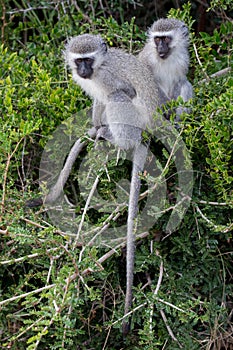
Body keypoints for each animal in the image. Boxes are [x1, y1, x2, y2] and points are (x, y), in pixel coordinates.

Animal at [65, 33, 160, 336]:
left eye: (89, 59)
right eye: (79, 61)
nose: (83, 70)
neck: (97, 69)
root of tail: (146, 136)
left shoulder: (107, 77)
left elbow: (122, 91)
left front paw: (101, 129)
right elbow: (98, 101)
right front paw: (95, 127)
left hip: (136, 123)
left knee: (118, 98)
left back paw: (118, 140)